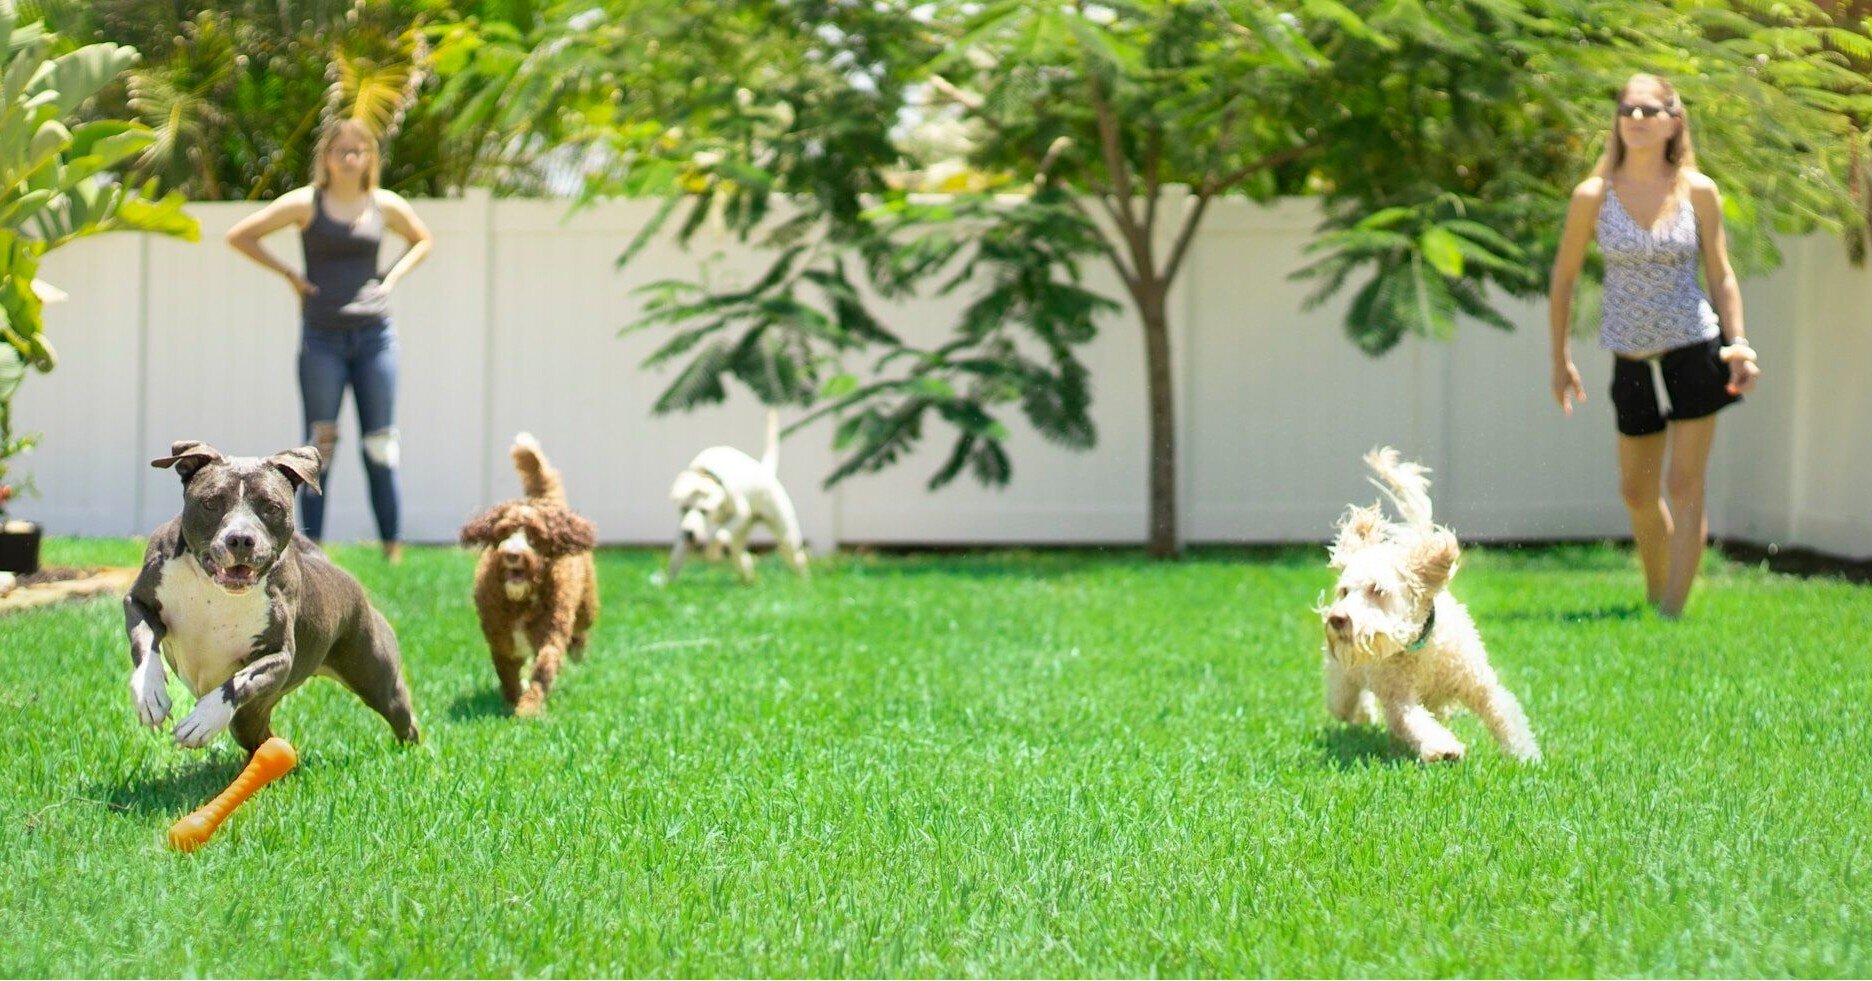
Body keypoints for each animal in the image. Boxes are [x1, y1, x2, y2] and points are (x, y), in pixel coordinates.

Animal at [128, 439, 424, 756]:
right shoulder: (138, 603)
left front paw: (203, 720)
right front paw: (150, 694)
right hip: (249, 718)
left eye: (271, 507)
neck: (215, 590)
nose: (241, 539)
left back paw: (410, 752)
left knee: (400, 714)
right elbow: (144, 644)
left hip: (374, 677)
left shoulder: (279, 656)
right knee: (262, 737)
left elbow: (240, 681)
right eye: (211, 503)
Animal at [670, 411, 808, 587]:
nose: (689, 533)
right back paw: (748, 581)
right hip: (740, 534)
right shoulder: (683, 528)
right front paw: (667, 584)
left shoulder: (741, 513)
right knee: (743, 558)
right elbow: (676, 558)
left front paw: (712, 552)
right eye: (684, 508)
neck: (705, 473)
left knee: (796, 558)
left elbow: (718, 536)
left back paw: (804, 584)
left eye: (704, 511)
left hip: (786, 537)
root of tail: (764, 470)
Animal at [1317, 447, 1535, 763]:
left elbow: (1503, 713)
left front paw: (1526, 755)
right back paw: (1365, 716)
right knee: (1348, 704)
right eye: (1344, 591)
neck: (1420, 649)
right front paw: (1444, 748)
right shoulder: (1398, 698)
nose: (1337, 618)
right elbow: (1414, 721)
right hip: (1342, 682)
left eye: (1377, 589)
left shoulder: (1478, 683)